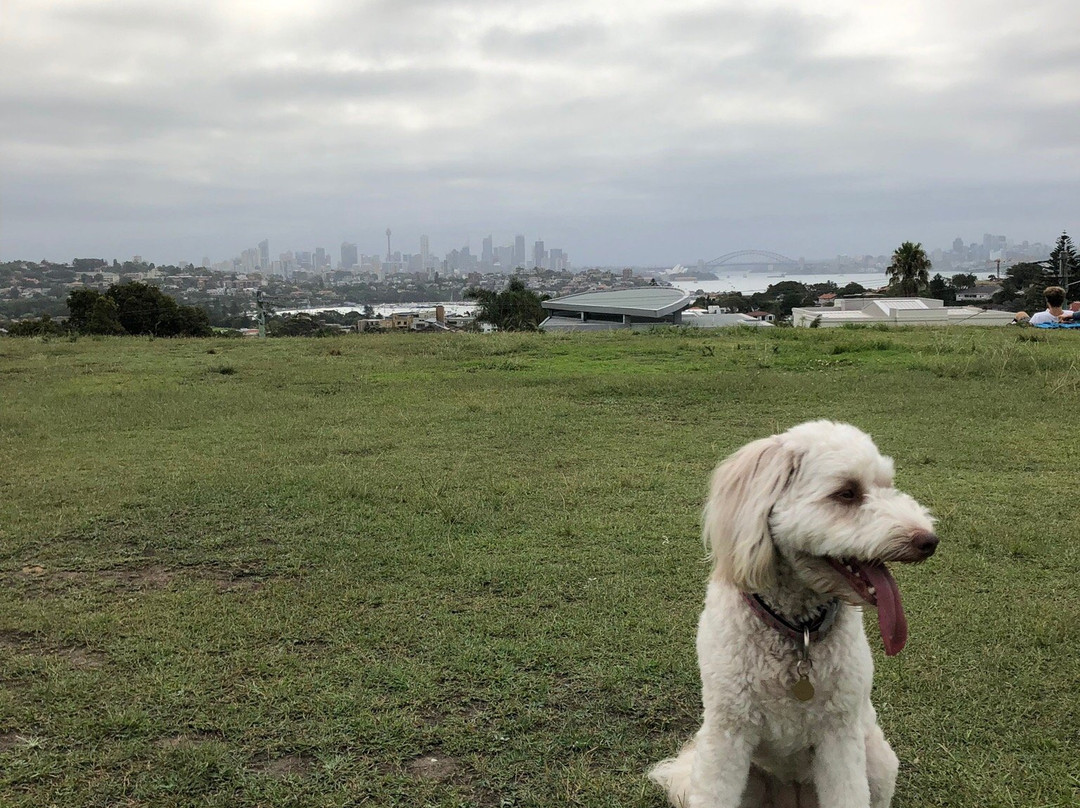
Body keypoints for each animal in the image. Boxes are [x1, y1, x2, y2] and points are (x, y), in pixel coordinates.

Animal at [648, 419, 937, 803]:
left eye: (887, 486)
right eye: (847, 493)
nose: (929, 541)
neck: (797, 630)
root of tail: (791, 795)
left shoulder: (840, 735)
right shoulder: (726, 732)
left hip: (877, 761)